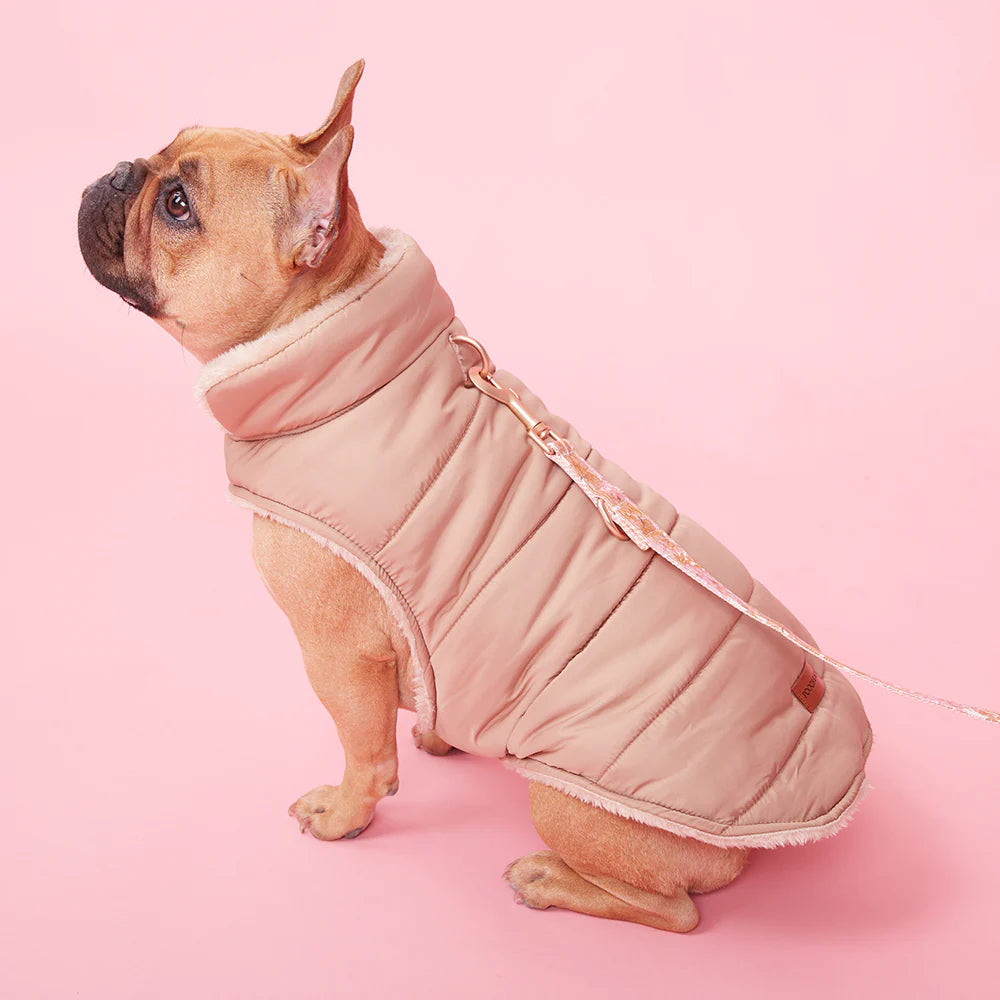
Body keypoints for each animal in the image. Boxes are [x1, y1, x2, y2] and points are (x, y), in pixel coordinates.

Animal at [78, 58, 872, 933]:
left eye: (178, 204)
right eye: (159, 158)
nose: (119, 171)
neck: (337, 352)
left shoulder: (335, 654)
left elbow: (364, 753)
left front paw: (345, 815)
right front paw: (439, 734)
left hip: (570, 805)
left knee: (674, 911)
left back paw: (550, 881)